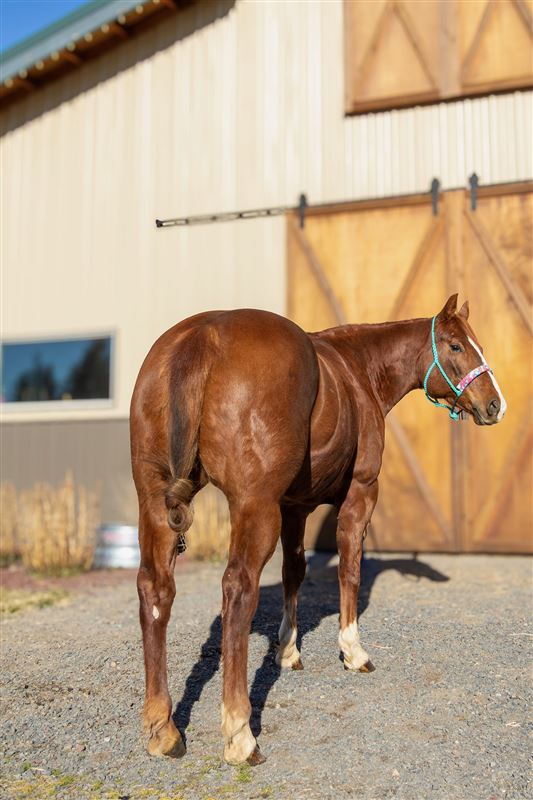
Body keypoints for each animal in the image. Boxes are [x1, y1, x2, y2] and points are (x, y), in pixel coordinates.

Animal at [129, 293, 506, 766]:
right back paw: (240, 734)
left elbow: (295, 571)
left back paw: (163, 728)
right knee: (237, 589)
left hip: (155, 503)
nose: (494, 404)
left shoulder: (294, 508)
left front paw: (288, 649)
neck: (358, 370)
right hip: (254, 507)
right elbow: (350, 570)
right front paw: (353, 650)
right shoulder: (360, 493)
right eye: (456, 346)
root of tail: (202, 338)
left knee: (155, 590)